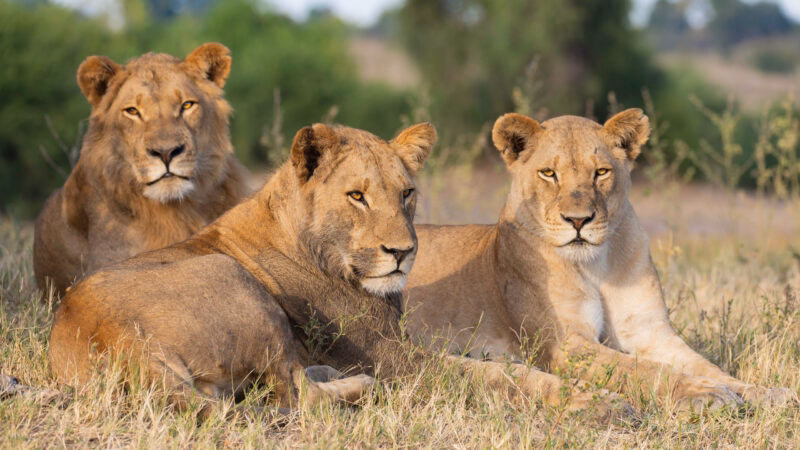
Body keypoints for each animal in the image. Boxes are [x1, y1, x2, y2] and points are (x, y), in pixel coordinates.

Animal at [405, 109, 795, 410]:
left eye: (601, 172)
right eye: (549, 173)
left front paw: (765, 392)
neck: (596, 266)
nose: (578, 220)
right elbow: (642, 370)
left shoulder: (650, 332)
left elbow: (705, 366)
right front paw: (706, 394)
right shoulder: (567, 345)